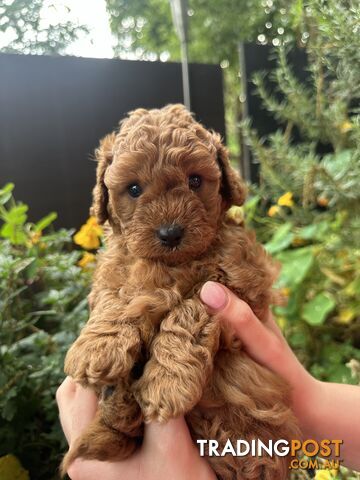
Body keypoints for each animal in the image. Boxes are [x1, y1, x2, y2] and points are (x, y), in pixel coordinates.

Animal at [62, 104, 300, 476]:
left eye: (195, 181)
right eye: (134, 189)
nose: (171, 233)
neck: (171, 264)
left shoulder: (240, 282)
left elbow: (188, 312)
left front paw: (168, 383)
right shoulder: (114, 268)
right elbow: (115, 296)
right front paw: (97, 348)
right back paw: (117, 399)